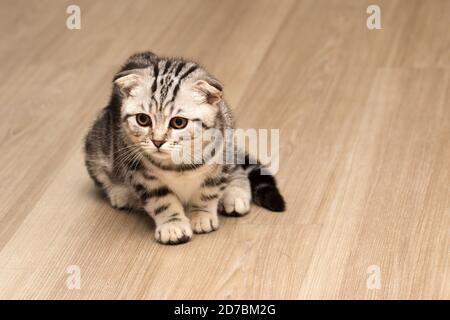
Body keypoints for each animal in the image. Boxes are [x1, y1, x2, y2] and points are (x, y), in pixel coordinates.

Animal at [84, 52, 284, 245]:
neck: (179, 165)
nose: (157, 141)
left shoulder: (219, 161)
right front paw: (173, 225)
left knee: (237, 168)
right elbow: (161, 200)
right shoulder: (141, 173)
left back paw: (235, 193)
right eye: (143, 119)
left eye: (178, 122)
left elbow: (207, 192)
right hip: (96, 147)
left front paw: (202, 215)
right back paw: (121, 193)